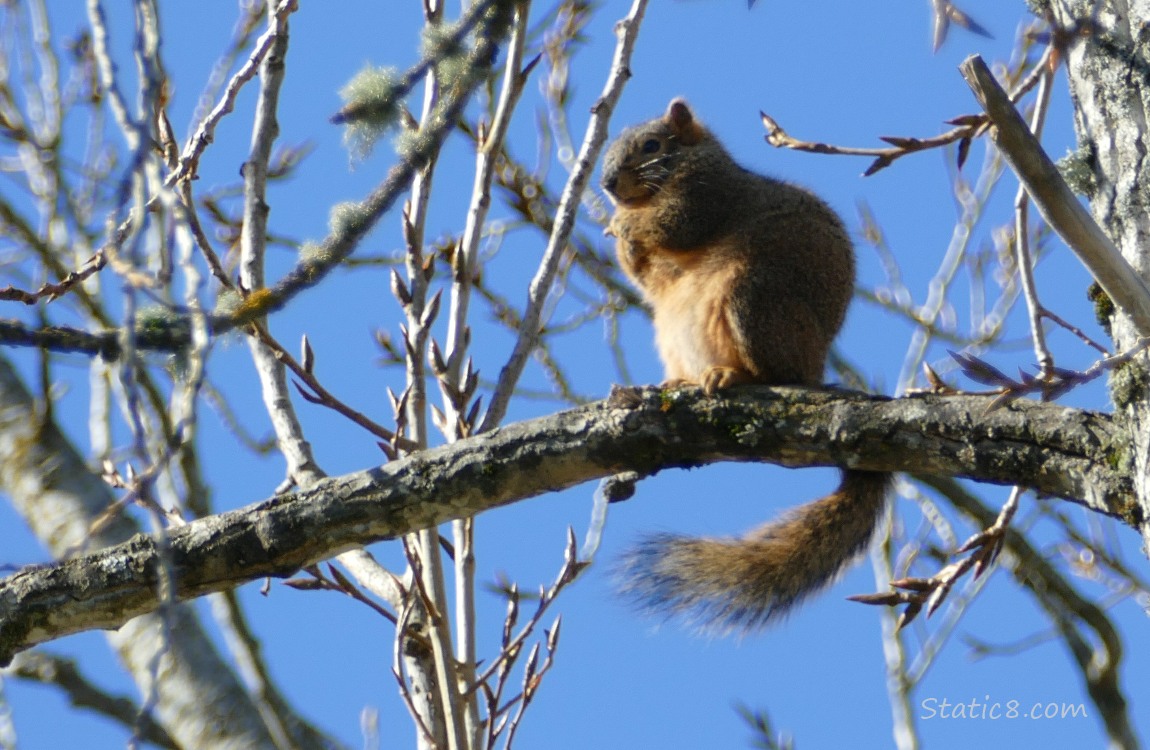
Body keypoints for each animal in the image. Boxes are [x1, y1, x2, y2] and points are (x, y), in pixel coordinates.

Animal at [607, 96, 892, 630]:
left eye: (652, 145)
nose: (607, 184)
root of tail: (816, 369)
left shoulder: (707, 194)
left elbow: (675, 223)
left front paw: (624, 225)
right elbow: (646, 275)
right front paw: (618, 230)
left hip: (753, 298)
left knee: (776, 375)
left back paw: (730, 375)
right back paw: (681, 382)